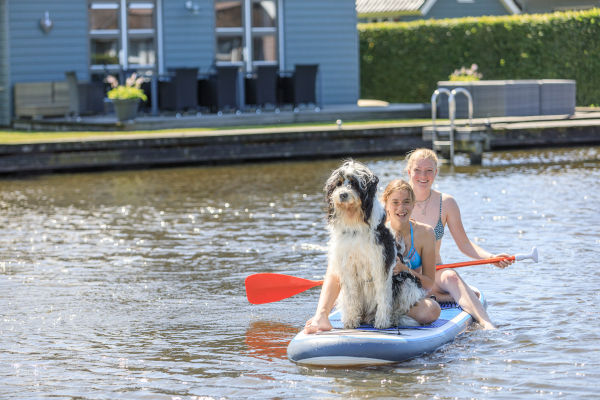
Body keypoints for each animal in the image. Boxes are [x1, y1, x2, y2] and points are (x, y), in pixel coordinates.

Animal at [326, 159, 428, 328]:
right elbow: (351, 294)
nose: (342, 195)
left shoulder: (381, 264)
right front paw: (351, 320)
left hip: (407, 284)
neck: (355, 222)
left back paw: (392, 319)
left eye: (354, 183)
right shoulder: (347, 265)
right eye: (338, 184)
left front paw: (382, 321)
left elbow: (383, 295)